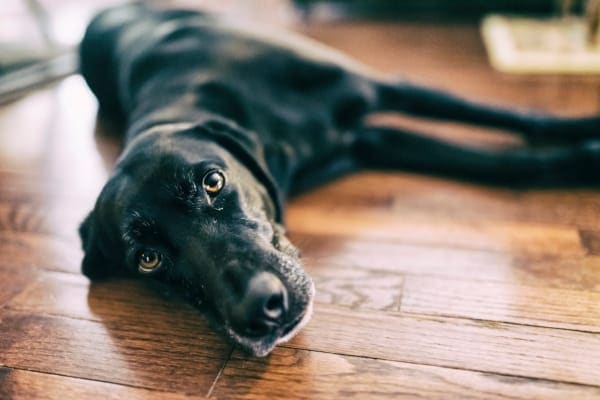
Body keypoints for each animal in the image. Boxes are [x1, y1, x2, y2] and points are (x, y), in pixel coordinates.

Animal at [78, 3, 600, 356]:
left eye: (212, 182)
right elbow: (500, 162)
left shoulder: (386, 88)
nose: (259, 308)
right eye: (148, 260)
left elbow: (517, 118)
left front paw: (588, 132)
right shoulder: (373, 141)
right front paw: (582, 158)